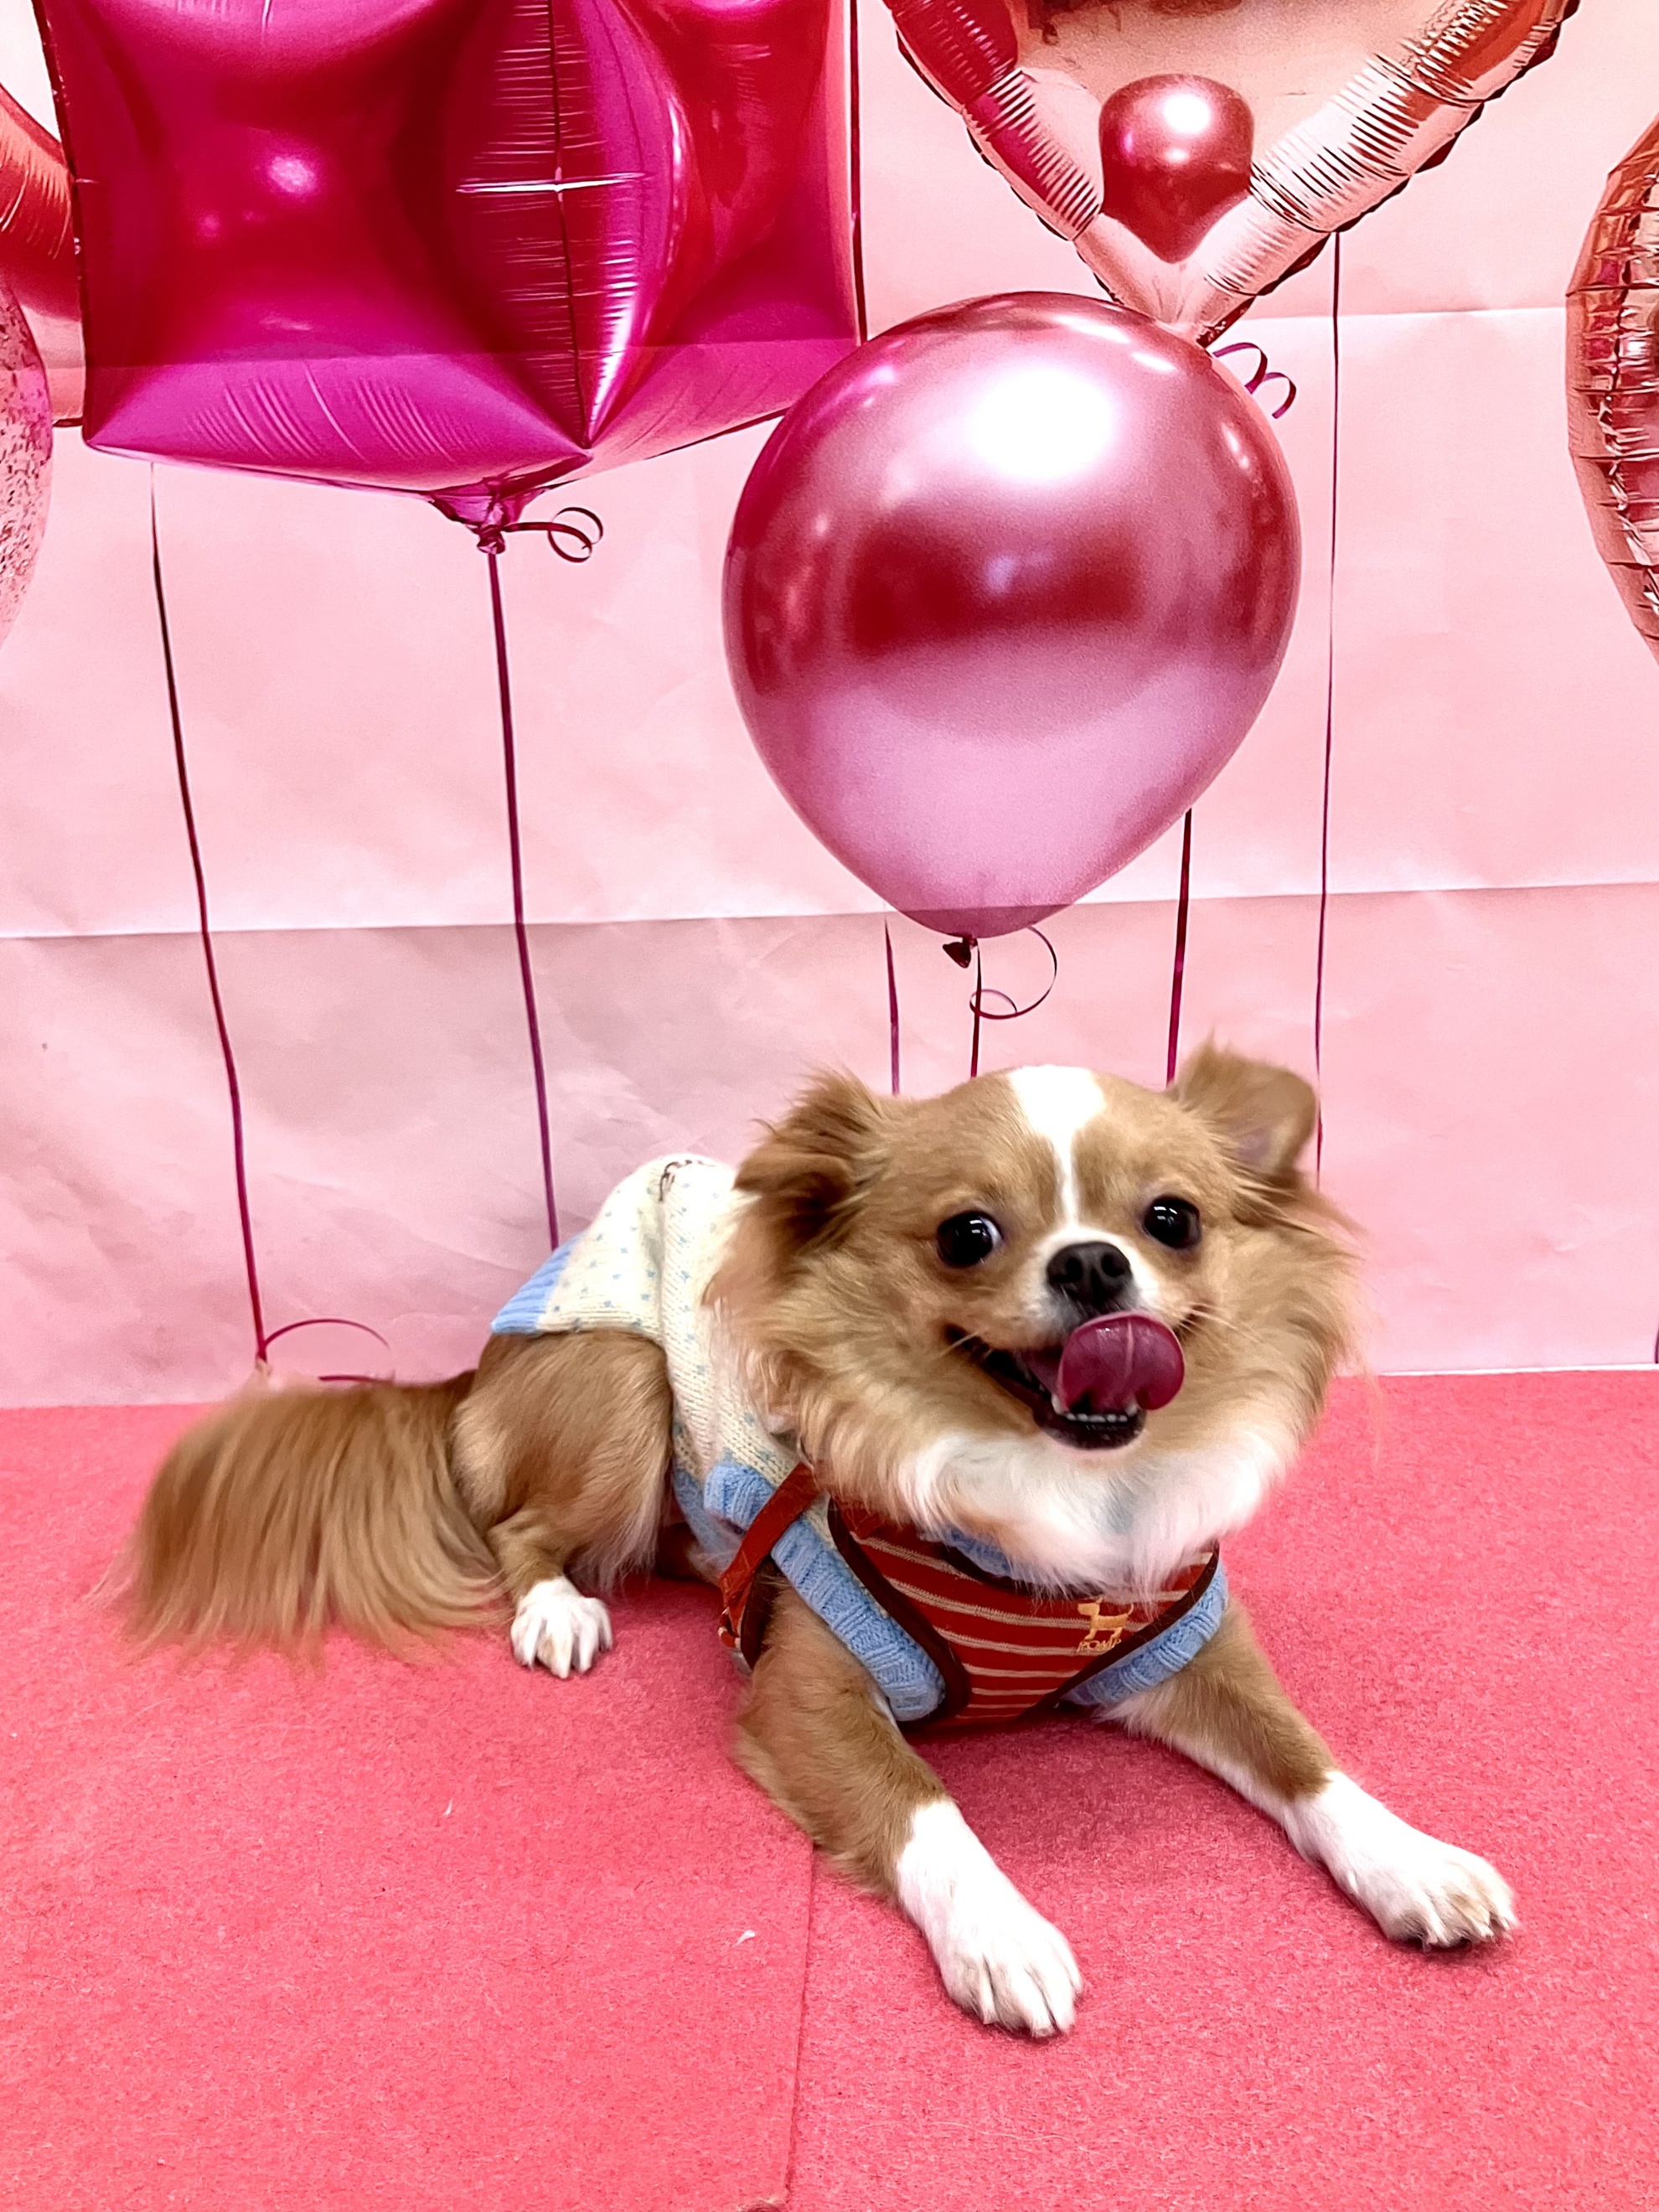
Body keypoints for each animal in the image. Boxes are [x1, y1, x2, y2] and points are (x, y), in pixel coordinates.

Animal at [122, 1046, 1514, 2035]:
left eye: (1172, 1219)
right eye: (967, 1233)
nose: (1094, 1264)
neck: (1062, 1491)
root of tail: (479, 1367)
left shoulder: (1188, 1649)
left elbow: (1307, 1760)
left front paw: (1414, 1861)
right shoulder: (808, 1694)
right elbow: (925, 1803)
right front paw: (1003, 1933)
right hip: (621, 1383)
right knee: (520, 1525)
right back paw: (560, 1609)